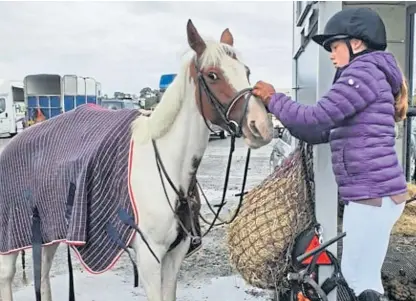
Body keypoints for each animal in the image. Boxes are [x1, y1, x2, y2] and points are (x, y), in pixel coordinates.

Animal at [0, 19, 274, 300]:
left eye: (246, 71)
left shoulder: (175, 255)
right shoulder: (149, 259)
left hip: (48, 233)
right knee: (8, 276)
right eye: (212, 75)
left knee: (43, 273)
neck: (168, 168)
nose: (260, 126)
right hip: (11, 237)